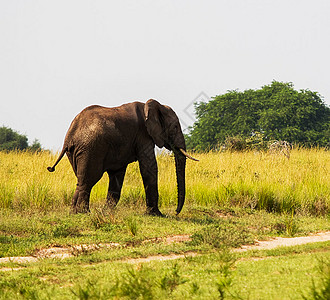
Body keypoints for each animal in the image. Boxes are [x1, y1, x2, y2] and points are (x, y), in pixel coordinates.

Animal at [47, 99, 197, 216]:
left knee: (81, 179)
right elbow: (149, 168)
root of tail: (70, 136)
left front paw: (106, 212)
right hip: (91, 149)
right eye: (175, 127)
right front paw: (156, 214)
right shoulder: (143, 135)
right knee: (89, 179)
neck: (153, 106)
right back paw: (84, 213)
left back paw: (75, 212)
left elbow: (117, 174)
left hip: (78, 151)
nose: (176, 212)